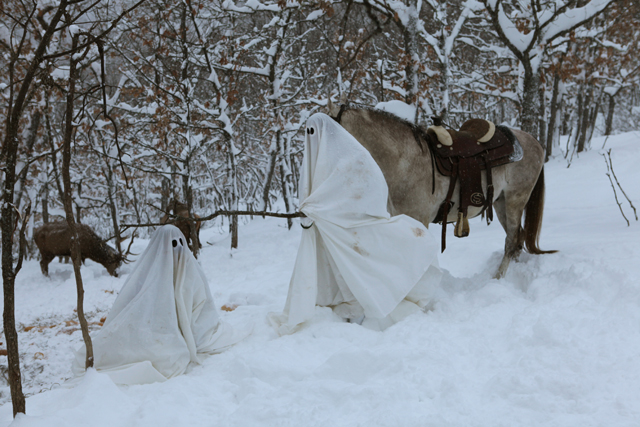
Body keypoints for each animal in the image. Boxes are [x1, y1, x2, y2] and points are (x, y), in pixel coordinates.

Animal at [328, 102, 552, 280]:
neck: (405, 160)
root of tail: (532, 140)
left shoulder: (419, 220)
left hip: (516, 199)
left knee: (512, 239)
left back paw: (498, 277)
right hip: (500, 202)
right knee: (518, 237)